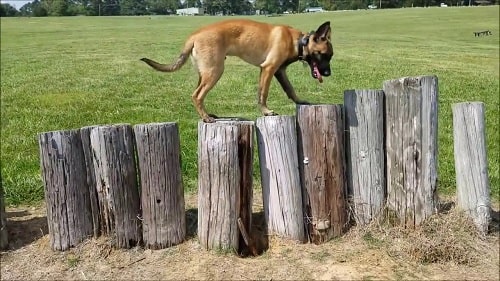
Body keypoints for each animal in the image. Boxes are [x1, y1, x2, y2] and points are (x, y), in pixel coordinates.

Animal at [141, 18, 334, 121]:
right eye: (324, 55)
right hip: (215, 72)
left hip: (205, 73)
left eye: (330, 56)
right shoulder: (268, 69)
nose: (328, 74)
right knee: (196, 95)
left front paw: (300, 101)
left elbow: (290, 89)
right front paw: (266, 112)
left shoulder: (279, 71)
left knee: (198, 94)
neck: (299, 41)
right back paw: (206, 118)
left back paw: (206, 114)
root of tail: (194, 36)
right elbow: (263, 93)